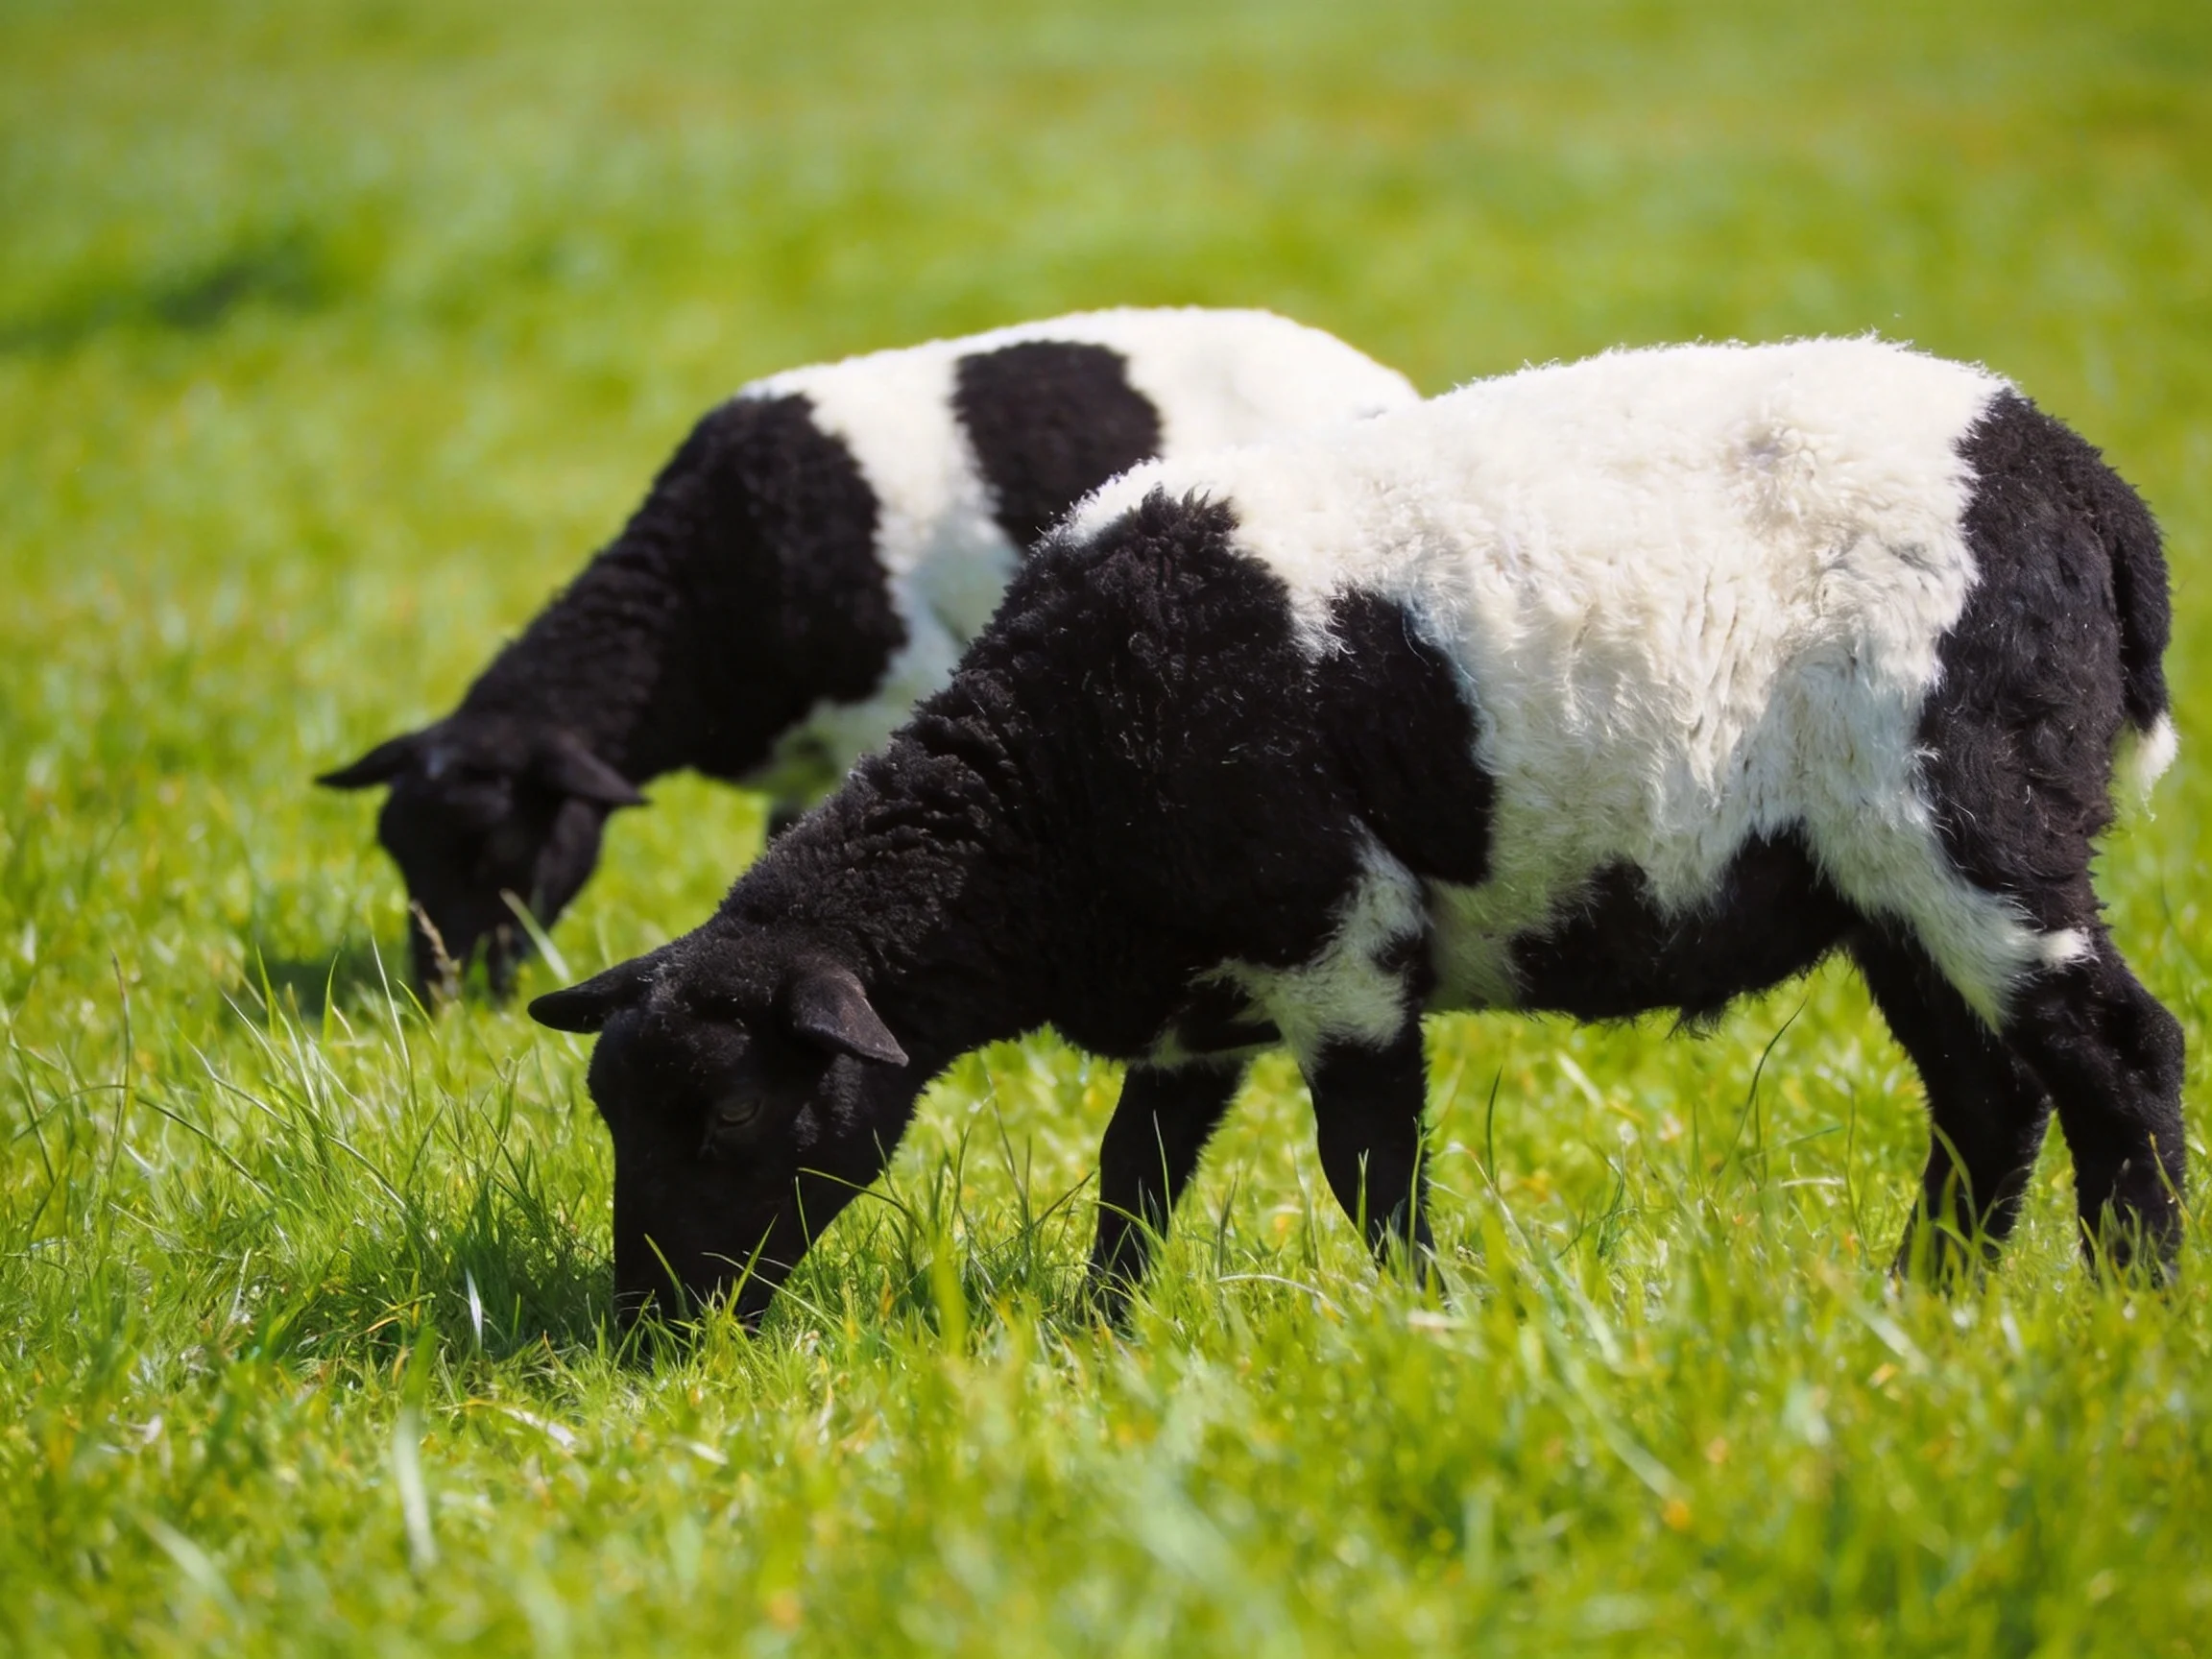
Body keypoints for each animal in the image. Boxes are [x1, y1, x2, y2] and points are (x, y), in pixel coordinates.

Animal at [527, 336, 2185, 1326]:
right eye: (612, 1116)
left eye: (727, 1119)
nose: (651, 1329)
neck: (1050, 801)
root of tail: (2082, 485)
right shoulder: (1199, 991)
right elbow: (1137, 1171)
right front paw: (1096, 1340)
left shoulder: (1336, 939)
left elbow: (1367, 1164)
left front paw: (1419, 1324)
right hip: (1888, 884)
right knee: (1989, 1095)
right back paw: (1926, 1309)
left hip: (1972, 822)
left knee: (2117, 1054)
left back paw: (2129, 1311)